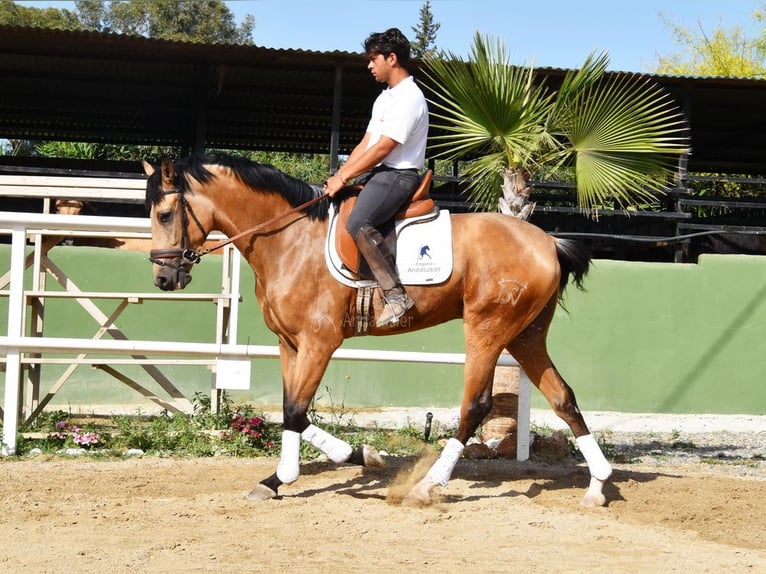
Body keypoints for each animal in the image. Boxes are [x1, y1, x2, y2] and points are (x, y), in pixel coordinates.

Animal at [142, 153, 612, 508]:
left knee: (476, 405)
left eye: (164, 214)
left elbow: (294, 411)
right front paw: (300, 472)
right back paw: (598, 485)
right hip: (525, 334)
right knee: (563, 398)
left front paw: (318, 467)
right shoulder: (289, 344)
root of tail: (547, 241)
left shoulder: (319, 342)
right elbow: (294, 410)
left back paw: (428, 485)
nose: (164, 279)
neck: (290, 239)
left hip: (488, 328)